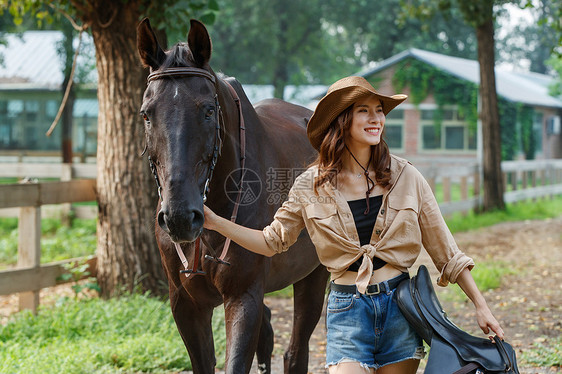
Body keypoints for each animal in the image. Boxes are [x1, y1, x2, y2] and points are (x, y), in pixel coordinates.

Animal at [137, 18, 328, 374]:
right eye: (146, 114)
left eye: (208, 110)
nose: (180, 217)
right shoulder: (185, 304)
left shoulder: (242, 296)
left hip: (313, 274)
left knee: (296, 352)